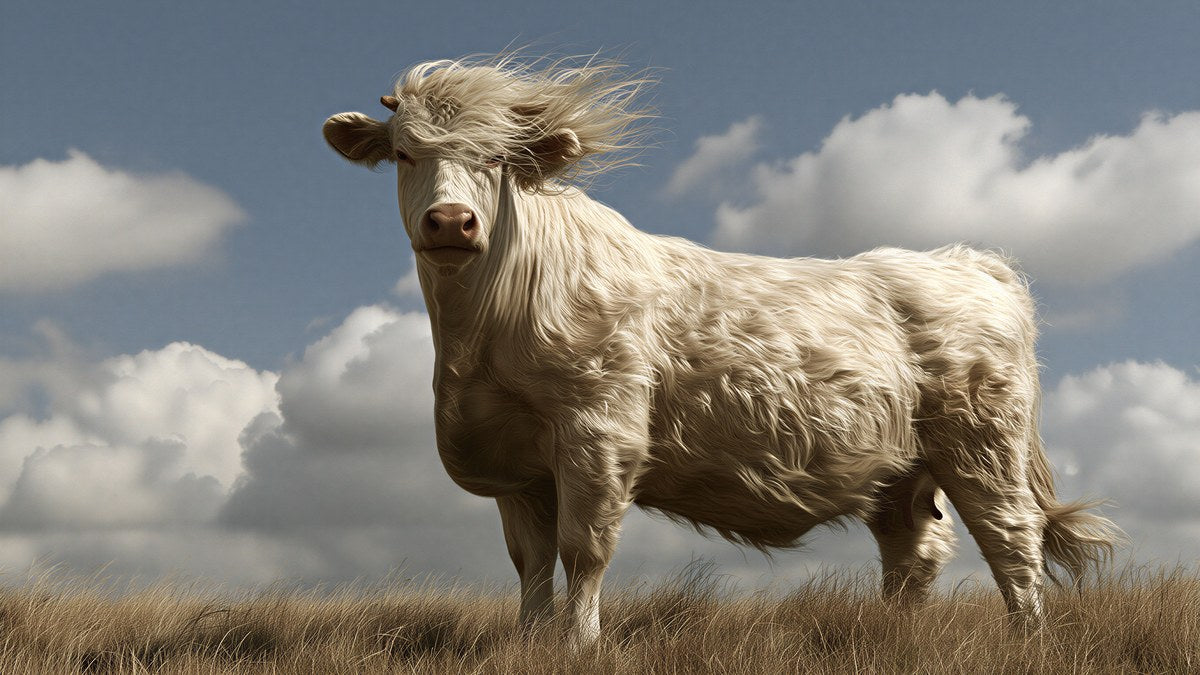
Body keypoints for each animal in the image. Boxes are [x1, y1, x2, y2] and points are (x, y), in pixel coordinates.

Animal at [322, 54, 1119, 645]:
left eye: (500, 160)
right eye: (404, 154)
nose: (450, 222)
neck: (478, 338)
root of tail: (964, 260)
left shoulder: (598, 432)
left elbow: (583, 550)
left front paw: (579, 645)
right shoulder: (514, 463)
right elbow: (530, 564)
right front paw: (528, 642)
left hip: (982, 442)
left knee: (1012, 542)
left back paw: (1028, 640)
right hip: (901, 467)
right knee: (914, 552)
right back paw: (892, 636)